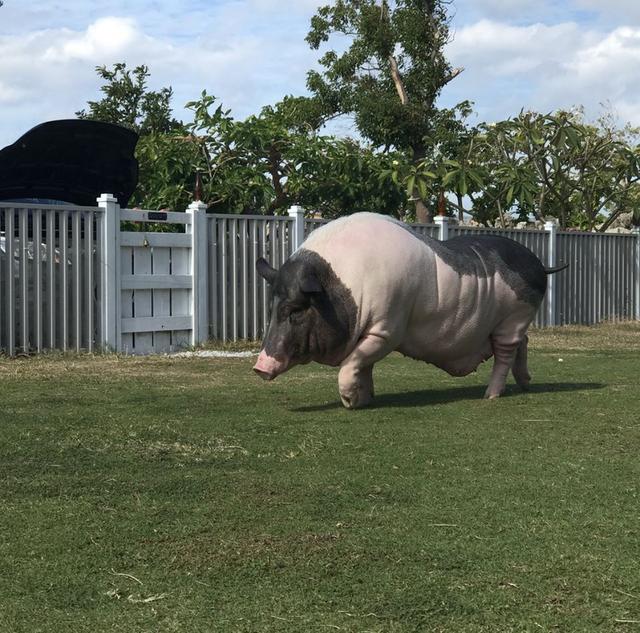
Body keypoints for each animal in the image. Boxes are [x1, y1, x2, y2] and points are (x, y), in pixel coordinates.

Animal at [252, 212, 564, 410]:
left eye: (296, 310)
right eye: (272, 308)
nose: (259, 367)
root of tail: (539, 264)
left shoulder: (387, 329)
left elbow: (352, 364)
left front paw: (350, 403)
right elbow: (364, 366)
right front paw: (366, 400)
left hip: (514, 318)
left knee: (505, 354)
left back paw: (490, 396)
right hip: (511, 325)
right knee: (523, 343)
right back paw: (525, 384)